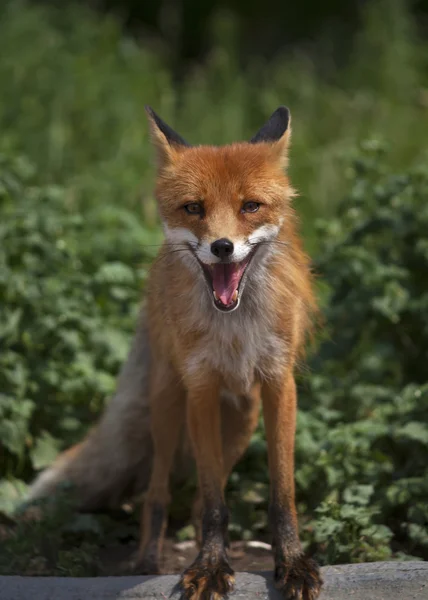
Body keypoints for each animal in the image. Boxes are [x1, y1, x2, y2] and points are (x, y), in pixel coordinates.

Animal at [29, 106, 320, 600]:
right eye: (194, 208)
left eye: (250, 206)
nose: (222, 246)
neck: (233, 329)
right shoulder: (199, 387)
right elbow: (213, 505)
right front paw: (210, 566)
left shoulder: (279, 384)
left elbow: (280, 495)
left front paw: (291, 563)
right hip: (167, 404)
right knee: (157, 493)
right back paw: (148, 559)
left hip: (241, 419)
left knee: (204, 492)